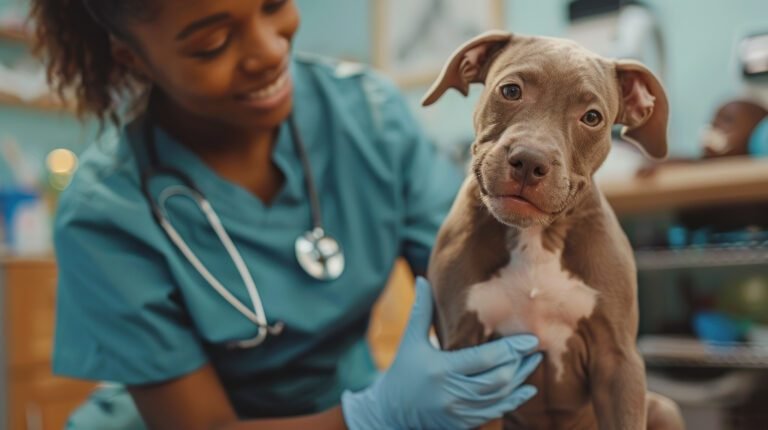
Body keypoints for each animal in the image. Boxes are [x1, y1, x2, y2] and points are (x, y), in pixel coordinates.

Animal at [426, 31, 684, 430]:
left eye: (591, 118)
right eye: (510, 91)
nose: (530, 160)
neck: (536, 237)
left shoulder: (618, 361)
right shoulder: (467, 357)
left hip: (663, 408)